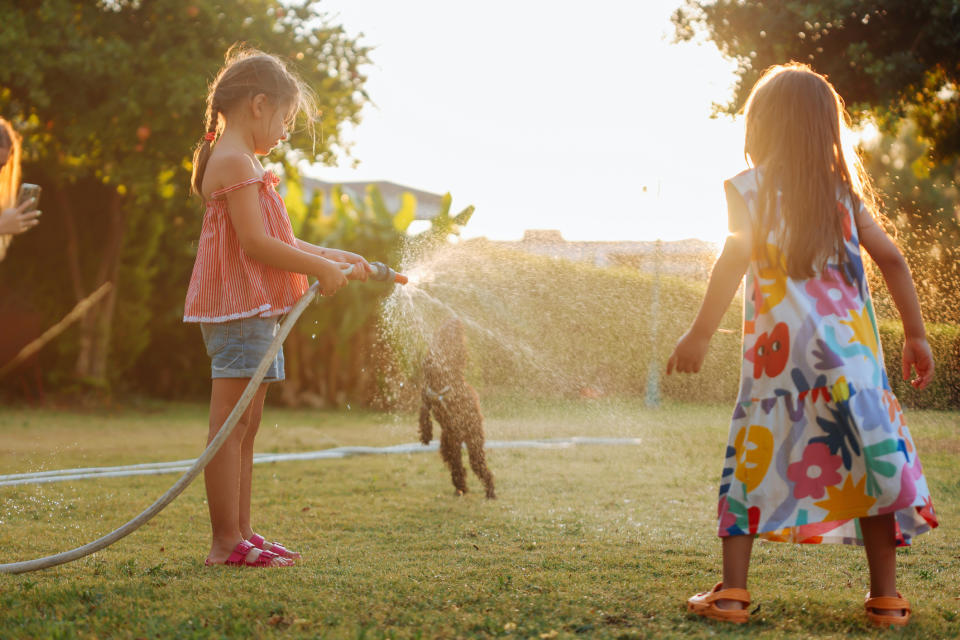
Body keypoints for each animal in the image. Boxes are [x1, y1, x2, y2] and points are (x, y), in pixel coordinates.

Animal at [418, 320, 496, 500]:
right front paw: (425, 434)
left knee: (478, 468)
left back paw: (489, 492)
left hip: (474, 443)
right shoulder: (427, 396)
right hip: (447, 447)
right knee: (457, 467)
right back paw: (460, 488)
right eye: (443, 332)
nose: (456, 321)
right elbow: (423, 413)